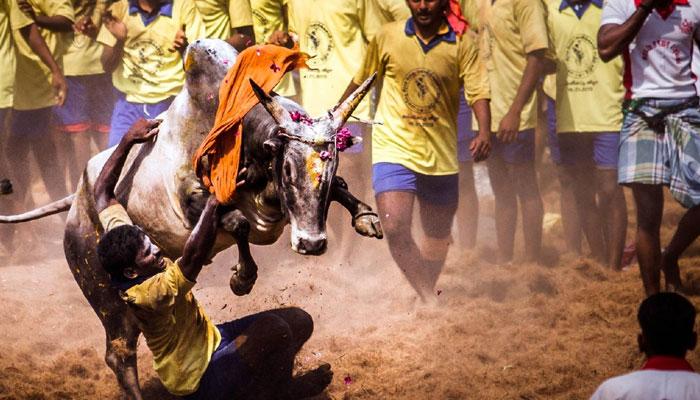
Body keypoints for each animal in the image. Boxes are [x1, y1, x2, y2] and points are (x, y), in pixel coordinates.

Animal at [1, 39, 382, 400]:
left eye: (330, 168)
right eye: (287, 169)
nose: (311, 243)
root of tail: (79, 197)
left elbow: (342, 190)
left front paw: (365, 216)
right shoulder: (191, 202)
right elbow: (237, 223)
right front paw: (242, 277)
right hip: (104, 295)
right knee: (119, 353)